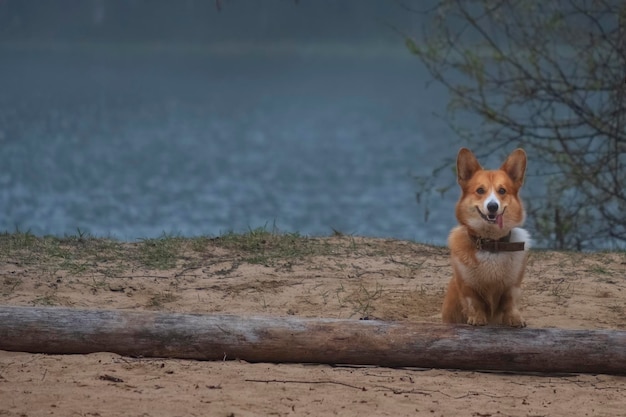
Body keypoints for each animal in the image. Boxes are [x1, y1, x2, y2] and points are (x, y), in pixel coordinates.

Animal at [442, 148, 528, 326]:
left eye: (502, 191)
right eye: (480, 190)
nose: (492, 206)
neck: (491, 243)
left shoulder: (513, 285)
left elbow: (510, 302)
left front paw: (515, 318)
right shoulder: (467, 285)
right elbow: (474, 302)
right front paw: (477, 318)